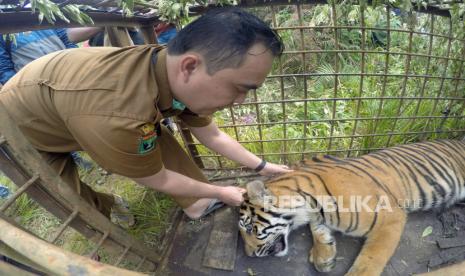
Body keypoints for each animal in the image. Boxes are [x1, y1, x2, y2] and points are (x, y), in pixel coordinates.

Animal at [239, 140, 464, 276]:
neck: (309, 205)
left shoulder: (390, 218)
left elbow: (370, 260)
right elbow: (318, 231)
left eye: (250, 229)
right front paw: (323, 257)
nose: (250, 255)